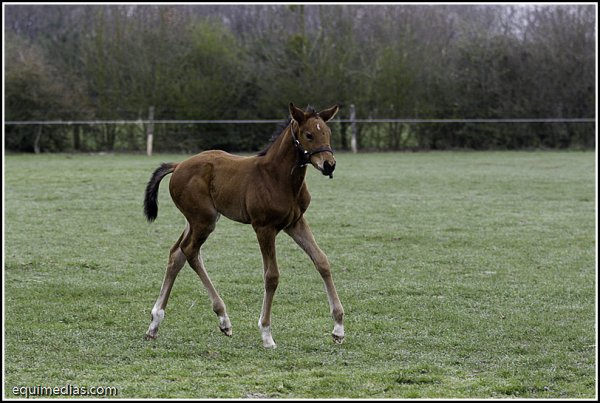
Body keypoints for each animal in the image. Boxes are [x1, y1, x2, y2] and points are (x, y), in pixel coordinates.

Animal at [142, 103, 344, 348]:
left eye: (328, 133)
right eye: (308, 135)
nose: (329, 165)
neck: (278, 177)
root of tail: (179, 164)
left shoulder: (295, 223)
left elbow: (322, 261)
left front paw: (338, 328)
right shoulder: (264, 227)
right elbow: (271, 276)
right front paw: (266, 333)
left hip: (196, 220)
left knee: (177, 254)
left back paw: (155, 323)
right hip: (204, 220)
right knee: (189, 251)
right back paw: (223, 319)